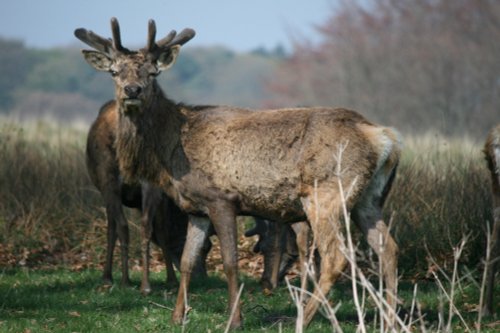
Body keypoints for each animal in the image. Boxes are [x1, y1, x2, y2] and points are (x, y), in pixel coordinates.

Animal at [87, 99, 210, 294]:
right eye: (206, 248)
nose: (202, 278)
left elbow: (112, 229)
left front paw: (107, 276)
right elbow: (159, 230)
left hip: (109, 178)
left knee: (125, 225)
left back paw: (127, 280)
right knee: (143, 225)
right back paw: (144, 284)